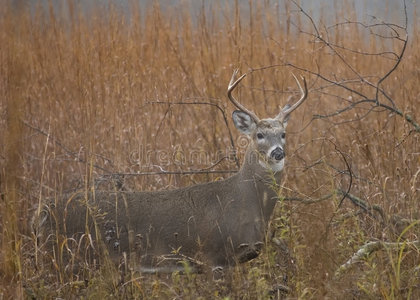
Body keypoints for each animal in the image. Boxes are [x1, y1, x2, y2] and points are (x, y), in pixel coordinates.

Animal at [34, 70, 306, 274]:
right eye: (259, 135)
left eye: (283, 133)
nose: (278, 153)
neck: (245, 201)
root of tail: (42, 211)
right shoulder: (214, 255)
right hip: (75, 256)